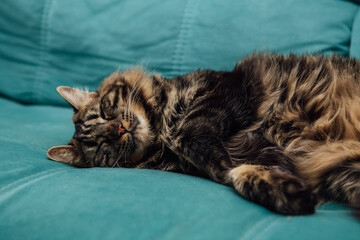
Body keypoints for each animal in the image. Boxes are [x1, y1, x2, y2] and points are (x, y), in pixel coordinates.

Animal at [47, 54, 360, 216]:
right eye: (102, 146)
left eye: (104, 112)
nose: (118, 129)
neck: (162, 129)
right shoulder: (263, 155)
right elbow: (239, 172)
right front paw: (287, 192)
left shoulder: (225, 89)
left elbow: (189, 131)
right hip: (341, 169)